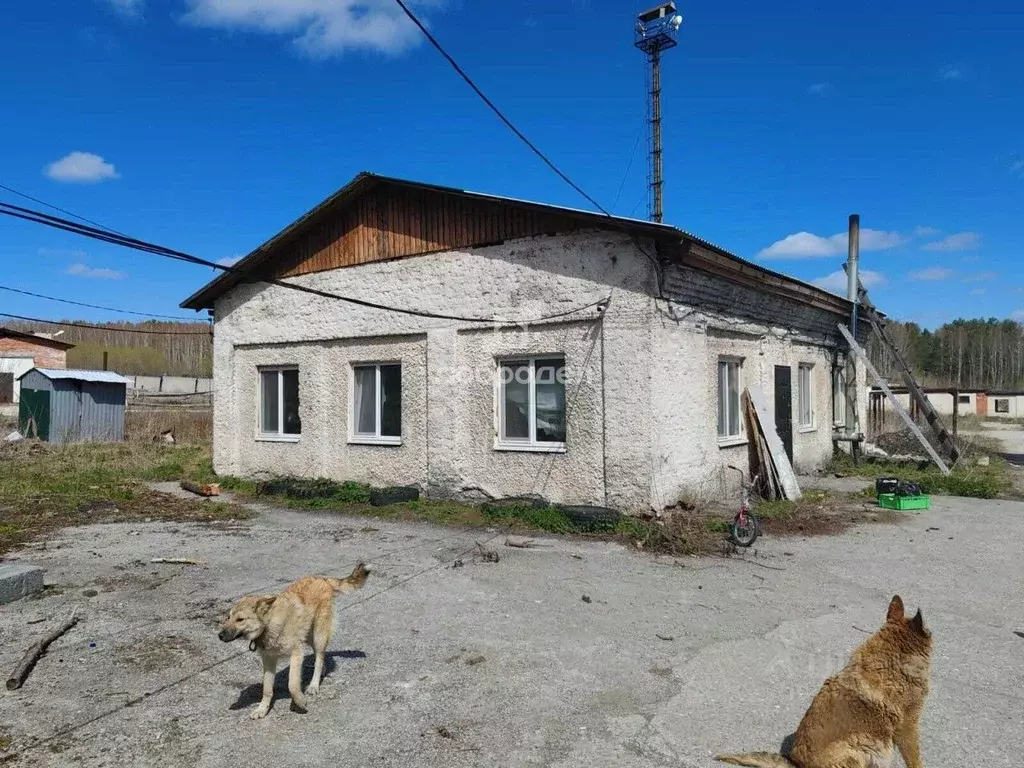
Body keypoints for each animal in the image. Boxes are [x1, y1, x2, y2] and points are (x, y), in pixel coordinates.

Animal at [218, 565, 370, 720]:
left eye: (240, 619)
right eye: (228, 617)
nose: (220, 635)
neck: (269, 624)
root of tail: (322, 578)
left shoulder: (296, 654)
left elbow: (292, 684)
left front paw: (300, 701)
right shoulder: (269, 660)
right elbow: (267, 689)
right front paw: (262, 709)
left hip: (318, 636)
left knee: (319, 658)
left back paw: (314, 685)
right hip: (308, 637)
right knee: (320, 657)